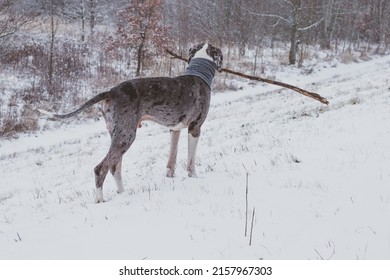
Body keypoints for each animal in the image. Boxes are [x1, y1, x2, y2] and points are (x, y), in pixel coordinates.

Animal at [40, 42, 224, 202]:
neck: (199, 73)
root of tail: (111, 92)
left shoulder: (175, 129)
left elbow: (172, 157)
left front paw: (170, 175)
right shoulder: (195, 128)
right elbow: (191, 160)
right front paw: (194, 177)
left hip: (118, 134)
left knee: (115, 167)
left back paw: (122, 193)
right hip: (126, 136)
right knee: (101, 168)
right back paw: (100, 200)